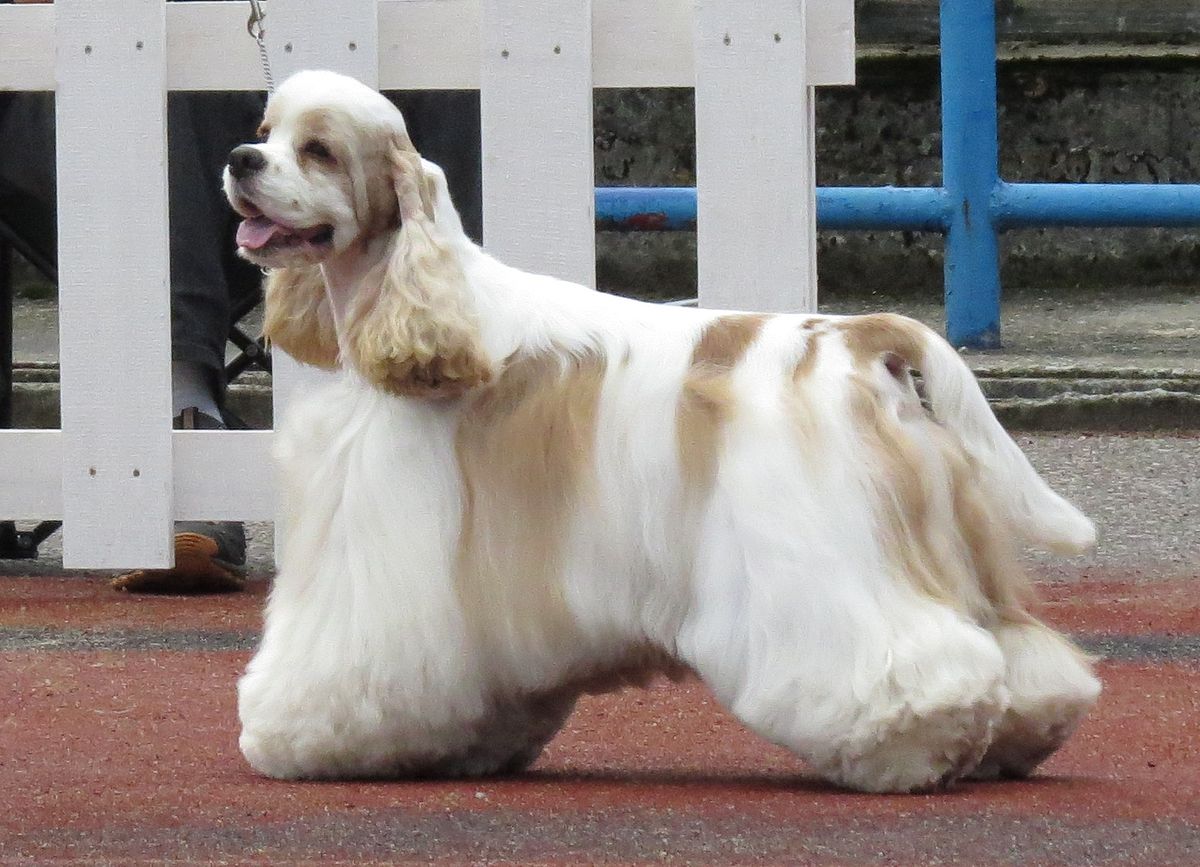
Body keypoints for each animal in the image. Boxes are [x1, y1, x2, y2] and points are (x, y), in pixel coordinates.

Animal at [220, 70, 1099, 792]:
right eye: (264, 127)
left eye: (319, 150)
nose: (240, 158)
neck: (413, 299)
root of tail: (861, 335)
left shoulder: (383, 537)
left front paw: (303, 736)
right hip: (953, 542)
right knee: (1022, 654)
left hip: (825, 554)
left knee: (907, 658)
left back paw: (911, 743)